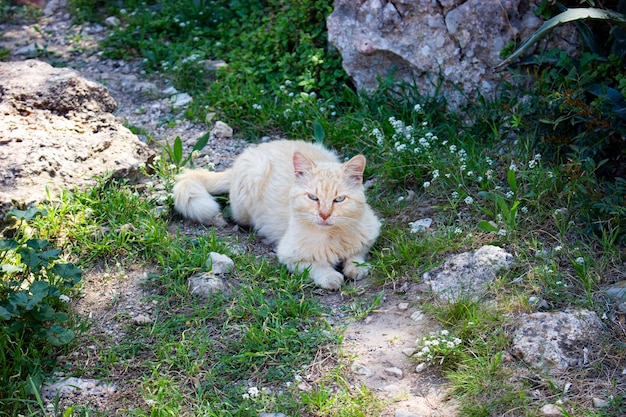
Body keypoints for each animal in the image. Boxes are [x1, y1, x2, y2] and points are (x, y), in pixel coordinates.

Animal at [173, 140, 382, 290]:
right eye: (313, 197)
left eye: (339, 199)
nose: (324, 215)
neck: (333, 235)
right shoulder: (290, 257)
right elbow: (316, 266)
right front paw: (331, 277)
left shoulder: (368, 234)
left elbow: (356, 254)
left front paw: (357, 268)